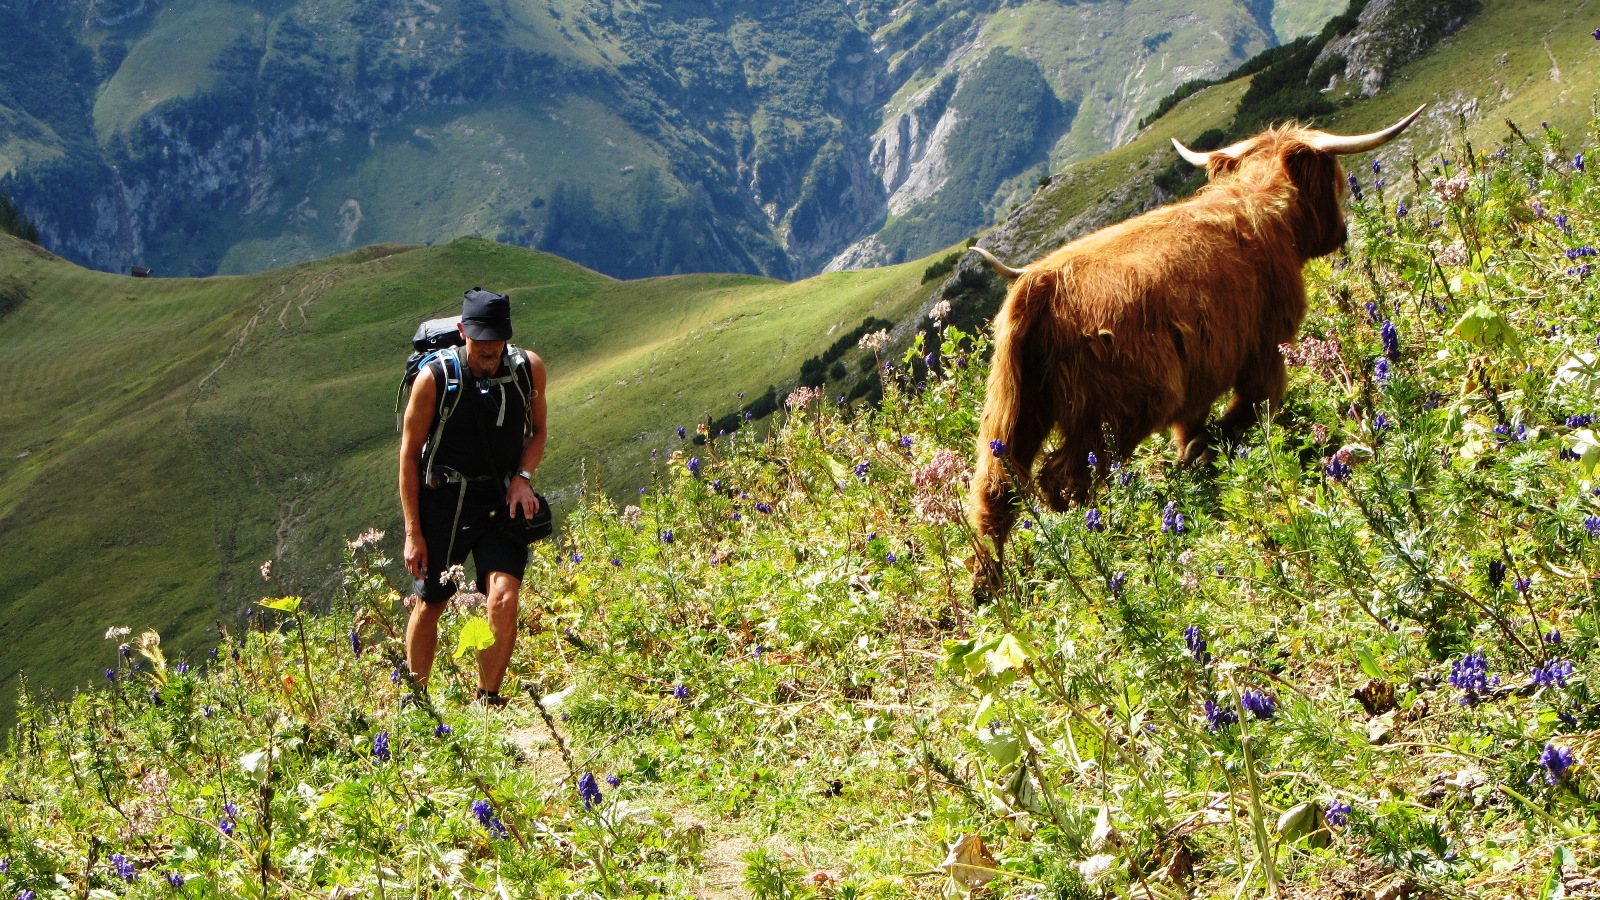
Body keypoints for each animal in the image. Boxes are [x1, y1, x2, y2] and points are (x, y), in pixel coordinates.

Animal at [960, 104, 1427, 589]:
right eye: (1332, 179)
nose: (1340, 233)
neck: (1262, 205)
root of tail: (1039, 282)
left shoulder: (1199, 377)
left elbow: (1193, 429)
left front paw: (1194, 458)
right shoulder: (1264, 349)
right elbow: (1252, 406)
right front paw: (1209, 454)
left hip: (1013, 408)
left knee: (995, 489)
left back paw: (990, 587)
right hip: (1116, 412)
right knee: (1064, 479)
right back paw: (1099, 540)